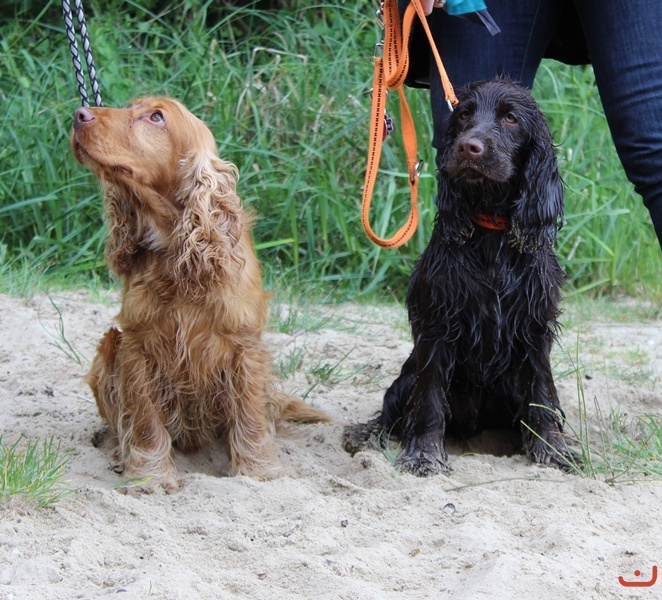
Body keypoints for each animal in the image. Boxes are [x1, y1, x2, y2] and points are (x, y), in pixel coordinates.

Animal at [72, 97, 330, 492]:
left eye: (156, 117)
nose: (78, 114)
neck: (176, 249)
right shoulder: (137, 345)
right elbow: (145, 419)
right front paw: (150, 474)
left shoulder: (244, 347)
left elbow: (251, 416)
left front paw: (259, 471)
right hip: (108, 347)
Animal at [344, 78, 567, 475]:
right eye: (463, 115)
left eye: (511, 118)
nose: (468, 147)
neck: (492, 228)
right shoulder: (439, 324)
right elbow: (429, 398)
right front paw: (424, 453)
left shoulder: (534, 326)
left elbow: (542, 394)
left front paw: (551, 448)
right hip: (406, 377)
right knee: (392, 410)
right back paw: (366, 435)